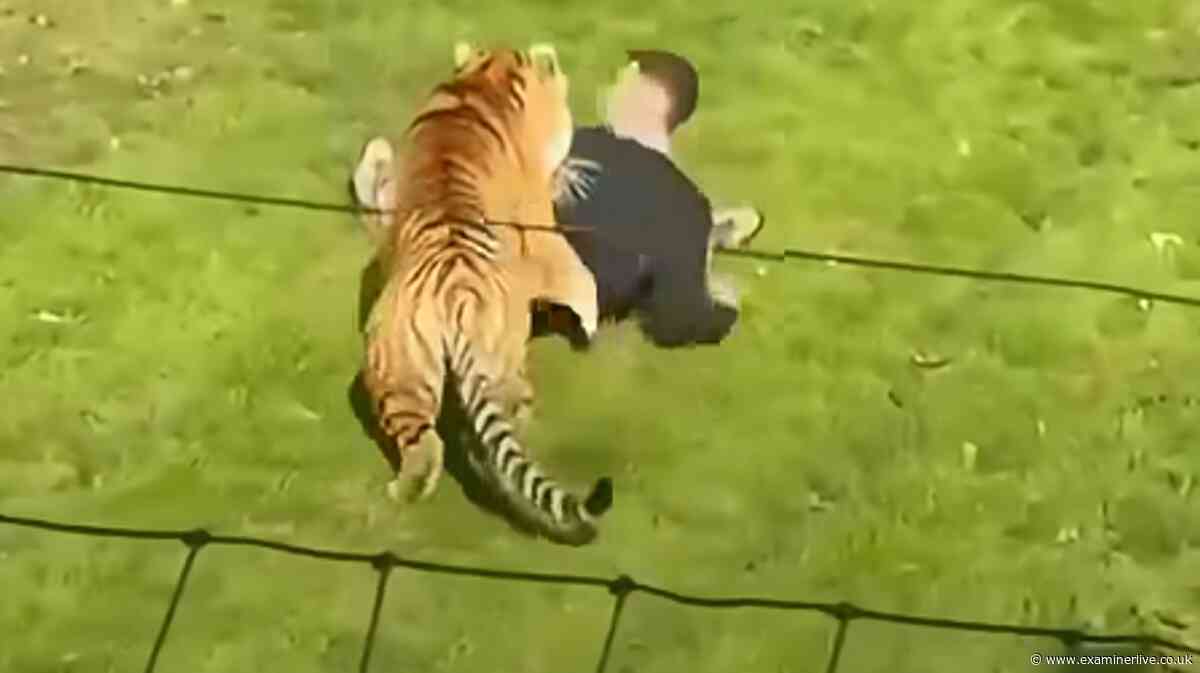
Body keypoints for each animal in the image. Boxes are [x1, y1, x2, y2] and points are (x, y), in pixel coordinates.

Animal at [355, 42, 613, 546]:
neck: (482, 81)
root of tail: (453, 297)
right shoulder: (543, 228)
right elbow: (579, 277)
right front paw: (591, 325)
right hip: (498, 358)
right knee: (500, 424)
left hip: (399, 364)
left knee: (426, 444)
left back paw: (405, 490)